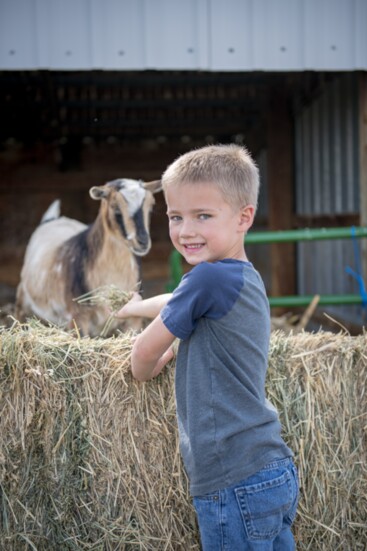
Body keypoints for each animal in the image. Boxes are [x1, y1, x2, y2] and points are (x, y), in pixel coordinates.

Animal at [14, 180, 161, 336]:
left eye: (151, 208)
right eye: (116, 208)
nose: (143, 241)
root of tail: (50, 220)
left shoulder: (134, 318)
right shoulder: (77, 316)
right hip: (23, 300)